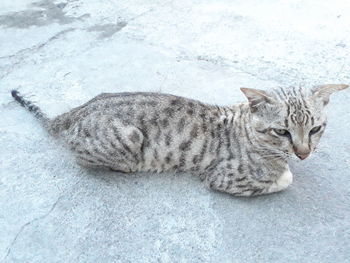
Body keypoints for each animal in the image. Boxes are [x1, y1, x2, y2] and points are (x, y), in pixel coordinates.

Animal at [10, 83, 348, 197]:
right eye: (282, 131)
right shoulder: (223, 178)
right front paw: (285, 172)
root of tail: (78, 109)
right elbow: (285, 179)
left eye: (315, 129)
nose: (304, 153)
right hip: (129, 138)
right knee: (80, 157)